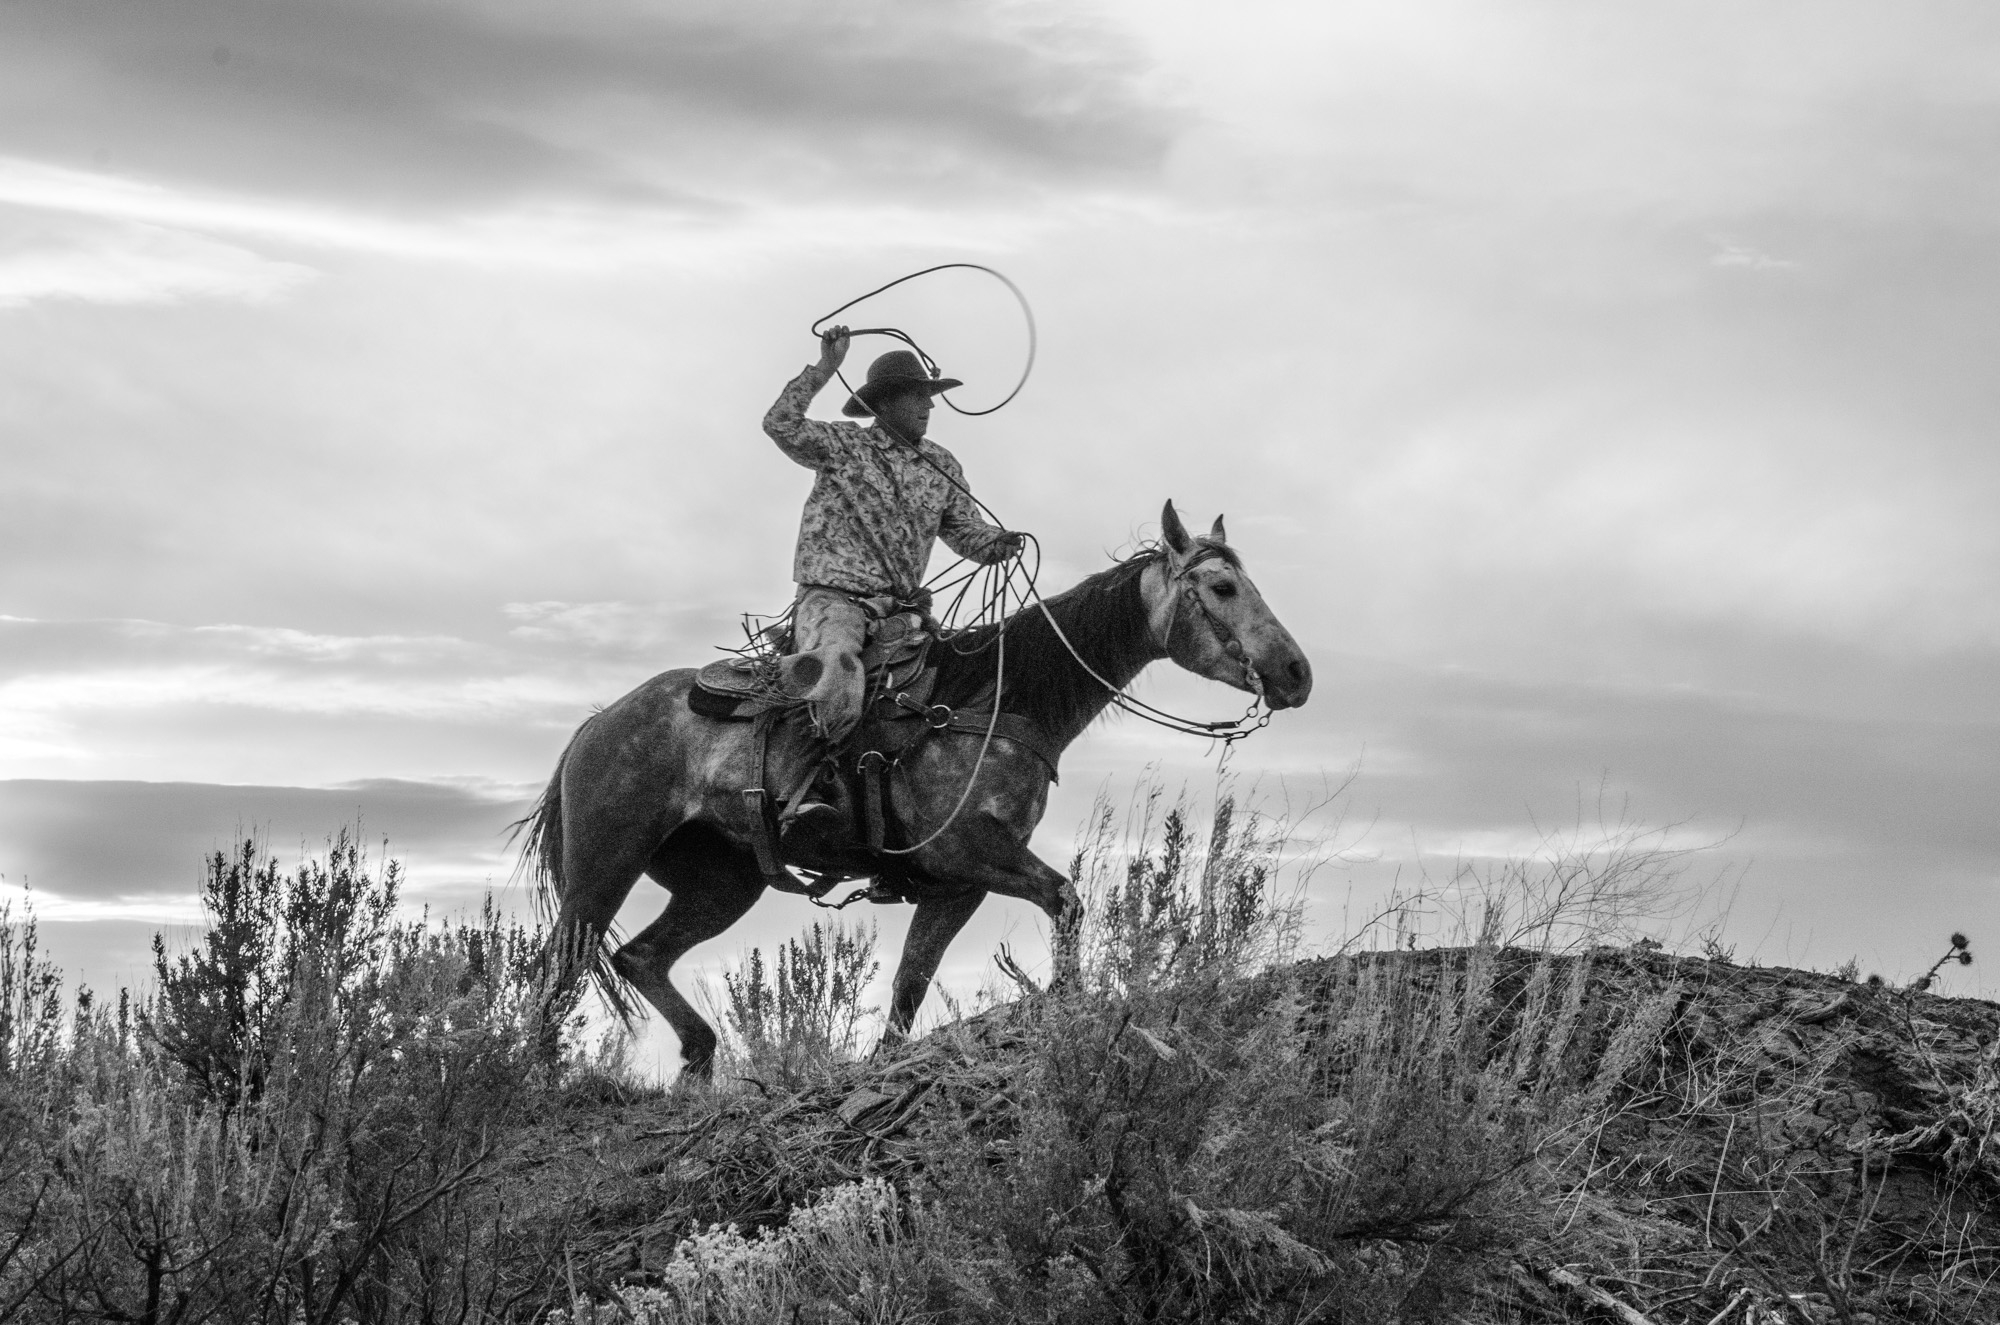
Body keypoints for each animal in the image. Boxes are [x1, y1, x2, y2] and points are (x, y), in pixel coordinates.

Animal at [520, 500, 1312, 1080]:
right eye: (1222, 588)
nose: (1297, 673)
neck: (994, 697)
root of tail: (596, 726)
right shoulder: (971, 850)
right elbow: (1066, 899)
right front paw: (1067, 1007)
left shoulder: (953, 886)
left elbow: (908, 990)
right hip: (604, 867)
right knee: (559, 972)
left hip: (723, 883)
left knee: (639, 957)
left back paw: (698, 1058)